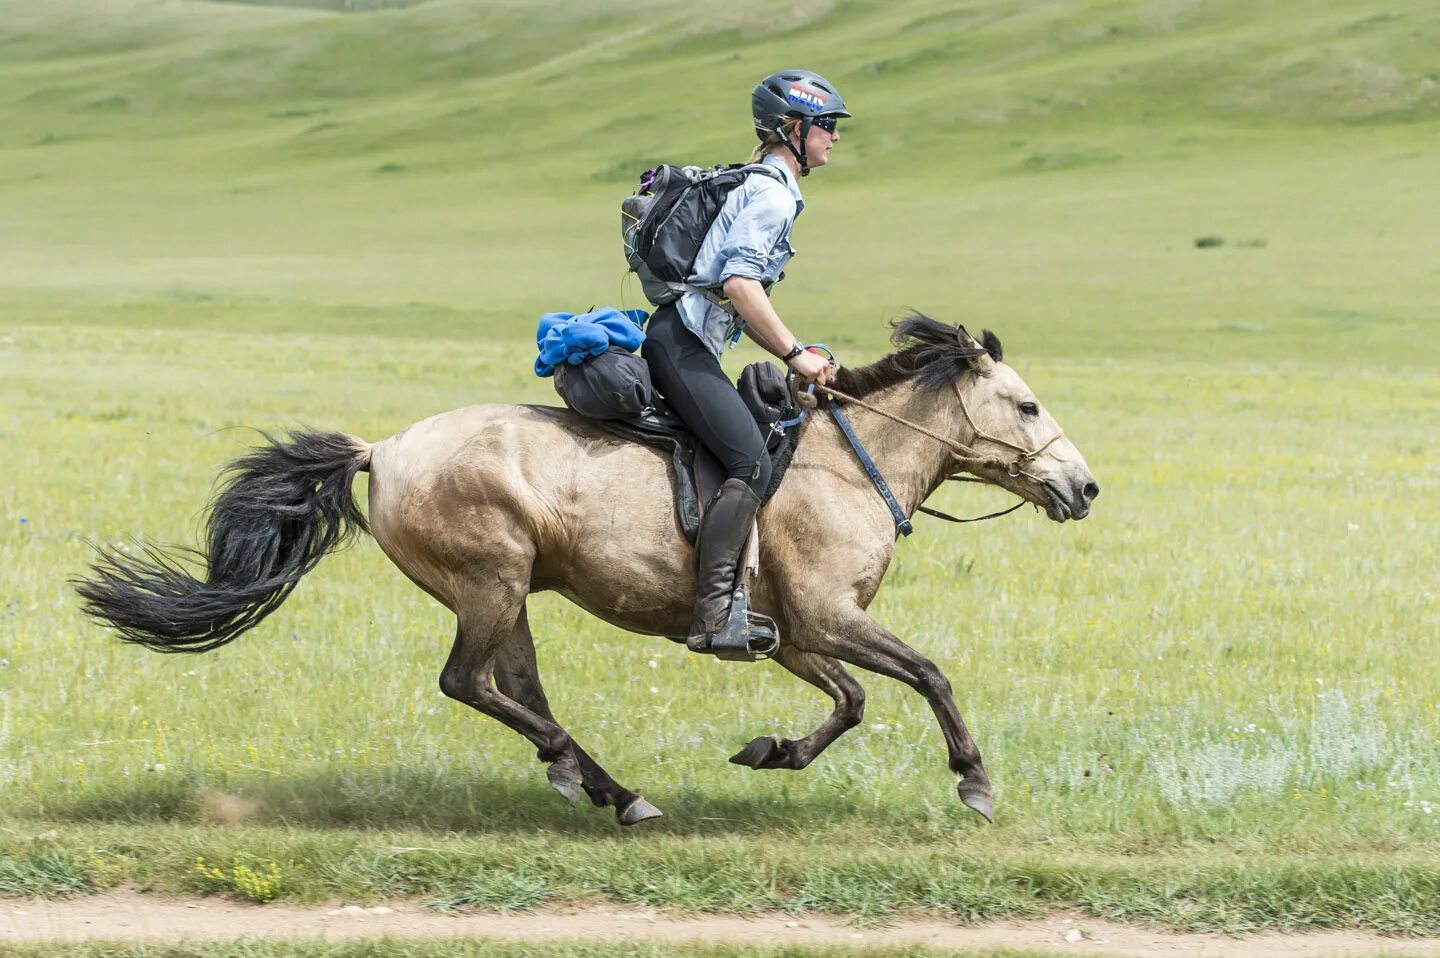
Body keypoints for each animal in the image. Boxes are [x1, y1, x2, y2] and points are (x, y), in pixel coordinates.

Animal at [73, 314, 1094, 824]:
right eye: (1028, 406)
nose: (1083, 487)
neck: (851, 464)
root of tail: (382, 450)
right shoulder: (828, 619)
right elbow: (927, 674)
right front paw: (974, 782)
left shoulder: (798, 634)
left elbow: (851, 702)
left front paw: (770, 752)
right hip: (488, 580)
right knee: (468, 682)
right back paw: (587, 775)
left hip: (509, 591)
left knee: (514, 686)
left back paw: (605, 786)